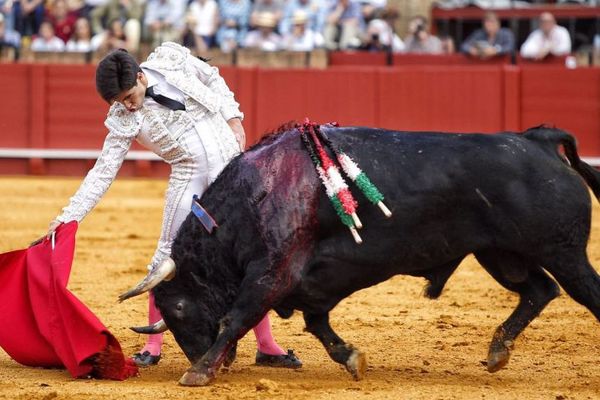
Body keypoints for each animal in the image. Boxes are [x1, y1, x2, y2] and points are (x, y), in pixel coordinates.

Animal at [117, 124, 600, 384]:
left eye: (179, 307)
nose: (210, 360)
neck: (255, 195)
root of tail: (536, 140)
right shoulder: (309, 284)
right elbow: (317, 325)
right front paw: (351, 358)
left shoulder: (272, 272)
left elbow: (236, 316)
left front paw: (198, 372)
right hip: (501, 255)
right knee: (538, 291)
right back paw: (498, 350)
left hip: (564, 252)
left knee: (584, 292)